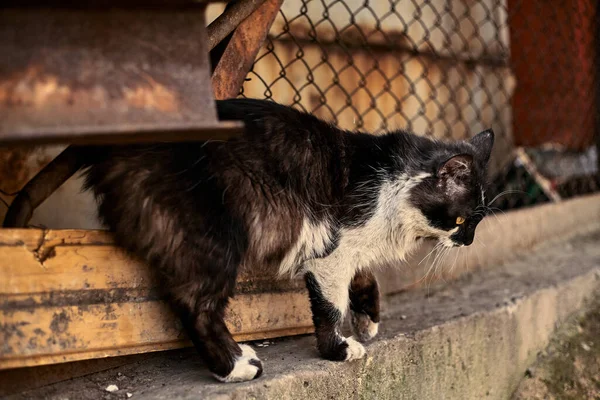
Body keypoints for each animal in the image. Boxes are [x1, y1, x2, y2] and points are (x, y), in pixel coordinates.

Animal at [5, 98, 492, 382]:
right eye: (462, 220)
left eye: (477, 222)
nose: (468, 243)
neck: (394, 181)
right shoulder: (330, 251)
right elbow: (331, 305)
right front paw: (339, 348)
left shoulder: (348, 249)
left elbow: (365, 278)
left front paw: (369, 320)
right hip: (216, 239)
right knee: (195, 304)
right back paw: (237, 366)